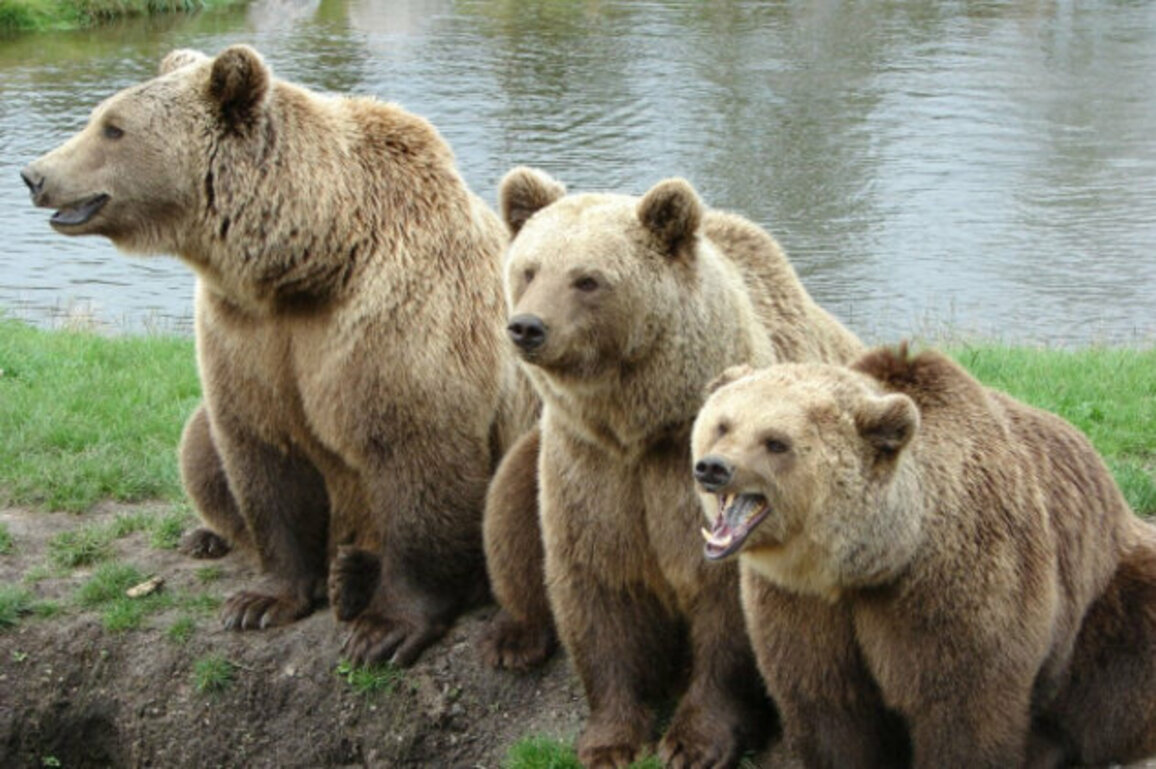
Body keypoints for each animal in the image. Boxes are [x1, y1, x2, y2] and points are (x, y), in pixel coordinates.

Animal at [21, 45, 537, 666]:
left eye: (113, 127)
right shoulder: (247, 334)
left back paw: (356, 575)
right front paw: (261, 601)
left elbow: (416, 455)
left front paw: (385, 629)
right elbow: (261, 454)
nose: (34, 174)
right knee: (198, 443)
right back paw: (222, 539)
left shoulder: (397, 322)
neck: (308, 263)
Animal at [485, 166, 864, 767]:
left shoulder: (693, 480)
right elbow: (598, 589)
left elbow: (727, 609)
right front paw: (610, 739)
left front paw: (695, 740)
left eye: (587, 279)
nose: (527, 327)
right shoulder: (592, 466)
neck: (640, 426)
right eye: (528, 268)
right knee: (508, 506)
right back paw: (512, 638)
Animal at [690, 345, 1156, 768]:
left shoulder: (958, 582)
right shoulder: (801, 602)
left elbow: (964, 705)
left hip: (1103, 596)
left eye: (775, 442)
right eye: (723, 425)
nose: (713, 467)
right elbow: (827, 702)